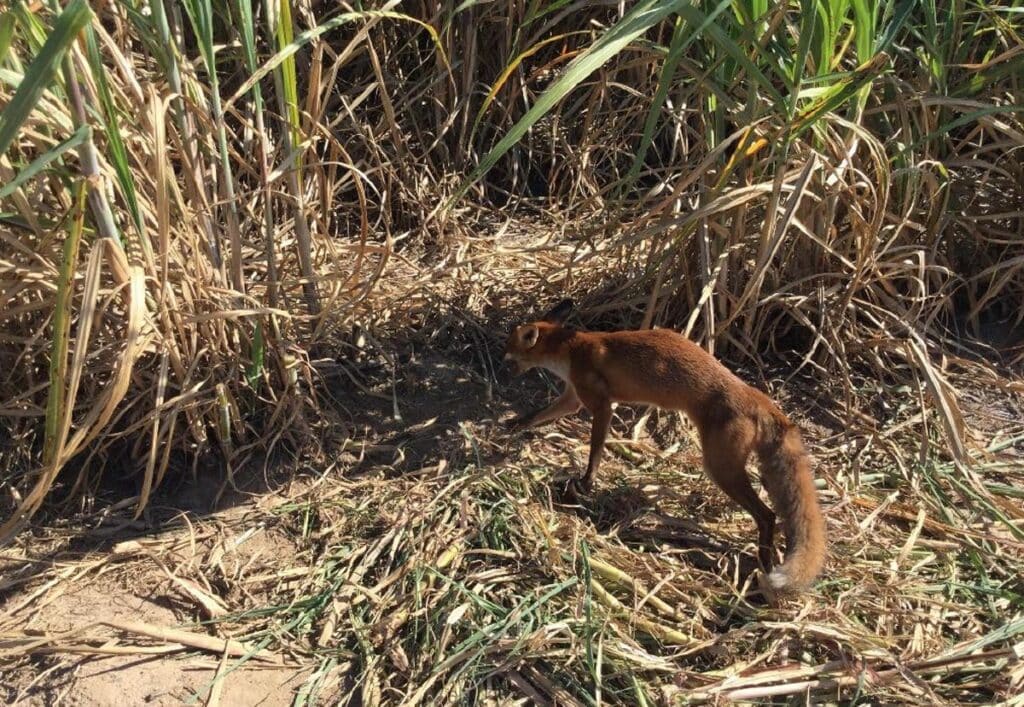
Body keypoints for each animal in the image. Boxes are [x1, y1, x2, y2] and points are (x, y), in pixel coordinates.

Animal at [503, 295, 831, 590]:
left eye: (510, 352)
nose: (503, 366)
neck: (572, 349)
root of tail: (756, 396)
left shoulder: (602, 404)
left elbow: (596, 449)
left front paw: (586, 482)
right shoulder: (572, 397)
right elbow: (538, 414)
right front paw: (515, 424)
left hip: (720, 468)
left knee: (768, 515)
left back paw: (763, 562)